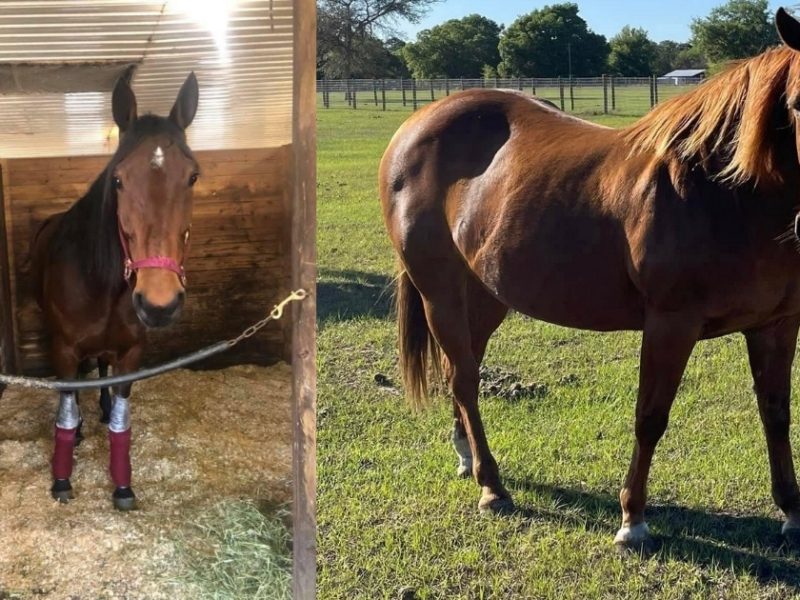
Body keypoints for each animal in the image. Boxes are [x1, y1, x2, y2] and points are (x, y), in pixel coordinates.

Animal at [29, 72, 200, 510]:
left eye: (193, 176)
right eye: (119, 179)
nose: (159, 303)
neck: (99, 279)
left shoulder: (131, 352)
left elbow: (123, 422)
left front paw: (122, 485)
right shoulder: (64, 349)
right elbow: (66, 411)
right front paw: (62, 479)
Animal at [379, 7, 800, 549]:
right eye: (797, 104)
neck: (722, 191)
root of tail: (416, 124)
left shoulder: (776, 324)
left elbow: (776, 412)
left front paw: (791, 511)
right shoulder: (671, 324)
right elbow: (650, 416)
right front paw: (632, 519)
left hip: (487, 295)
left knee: (462, 368)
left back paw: (467, 457)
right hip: (439, 292)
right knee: (464, 378)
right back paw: (492, 487)